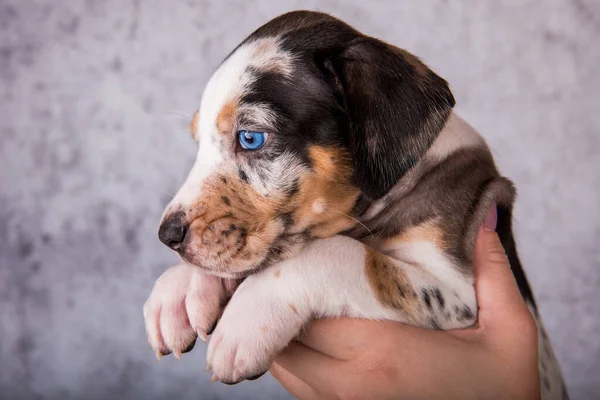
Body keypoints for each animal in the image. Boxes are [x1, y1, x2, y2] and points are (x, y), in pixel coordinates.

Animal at [143, 10, 568, 398]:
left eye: (250, 138)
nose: (167, 236)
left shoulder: (457, 293)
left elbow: (343, 253)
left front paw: (248, 319)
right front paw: (180, 289)